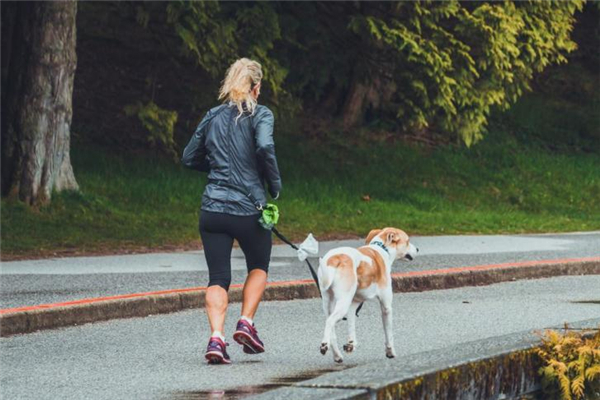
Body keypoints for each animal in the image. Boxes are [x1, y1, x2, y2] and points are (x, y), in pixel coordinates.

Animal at [318, 228, 418, 362]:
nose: (417, 249)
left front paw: (351, 344)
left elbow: (351, 324)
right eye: (407, 241)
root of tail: (335, 258)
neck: (382, 249)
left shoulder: (353, 304)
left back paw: (337, 355)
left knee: (331, 330)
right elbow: (389, 333)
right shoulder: (386, 307)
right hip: (342, 303)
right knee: (330, 321)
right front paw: (390, 352)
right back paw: (324, 345)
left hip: (328, 303)